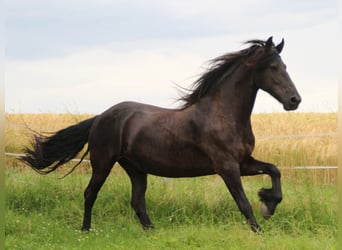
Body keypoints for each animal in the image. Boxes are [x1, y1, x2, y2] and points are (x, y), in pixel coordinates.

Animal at [21, 37, 300, 232]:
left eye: (285, 66)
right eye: (273, 67)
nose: (294, 100)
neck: (223, 115)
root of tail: (100, 117)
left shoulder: (243, 163)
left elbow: (274, 170)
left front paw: (268, 202)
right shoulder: (227, 167)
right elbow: (242, 202)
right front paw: (260, 226)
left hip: (136, 169)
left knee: (137, 201)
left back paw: (151, 231)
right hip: (103, 162)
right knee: (91, 193)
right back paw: (86, 230)